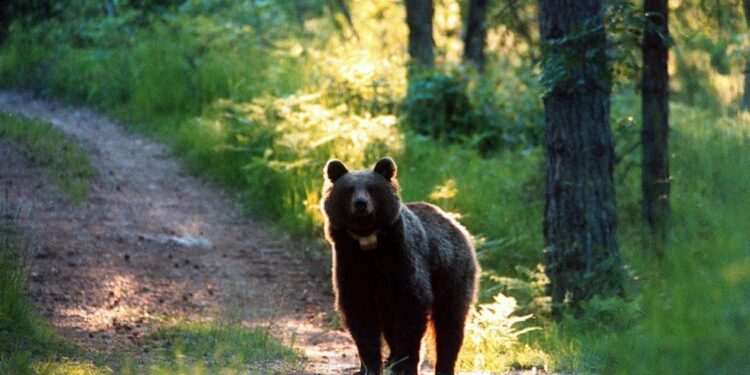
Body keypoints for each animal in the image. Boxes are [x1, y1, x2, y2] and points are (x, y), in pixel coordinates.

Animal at [320, 158, 478, 375]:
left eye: (372, 188)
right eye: (349, 189)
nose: (361, 204)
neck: (369, 245)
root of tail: (455, 223)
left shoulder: (403, 262)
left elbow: (411, 311)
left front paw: (405, 365)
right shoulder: (351, 263)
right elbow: (360, 317)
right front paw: (369, 366)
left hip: (451, 275)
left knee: (451, 323)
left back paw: (444, 365)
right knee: (390, 324)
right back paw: (390, 359)